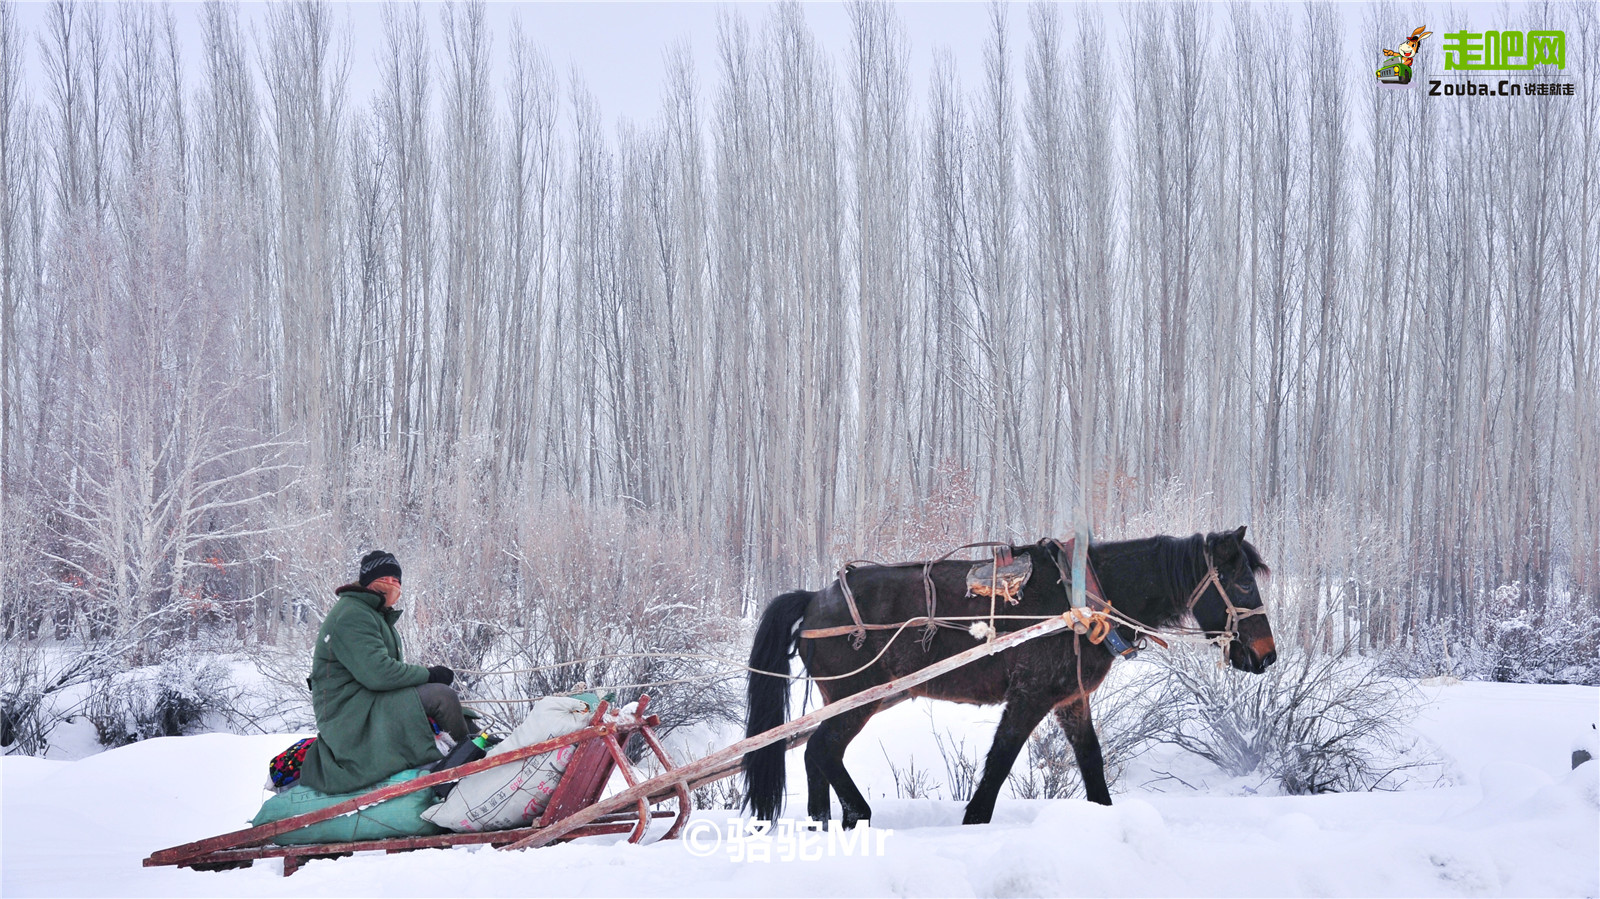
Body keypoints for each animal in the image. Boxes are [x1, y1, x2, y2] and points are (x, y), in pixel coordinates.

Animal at [742, 524, 1280, 825]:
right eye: (1241, 583)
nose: (1267, 655)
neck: (1082, 597)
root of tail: (815, 598)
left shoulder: (1070, 699)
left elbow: (1091, 763)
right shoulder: (1030, 696)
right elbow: (1000, 762)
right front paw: (975, 821)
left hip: (844, 700)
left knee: (814, 757)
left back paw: (823, 823)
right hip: (859, 696)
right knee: (821, 751)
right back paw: (858, 814)